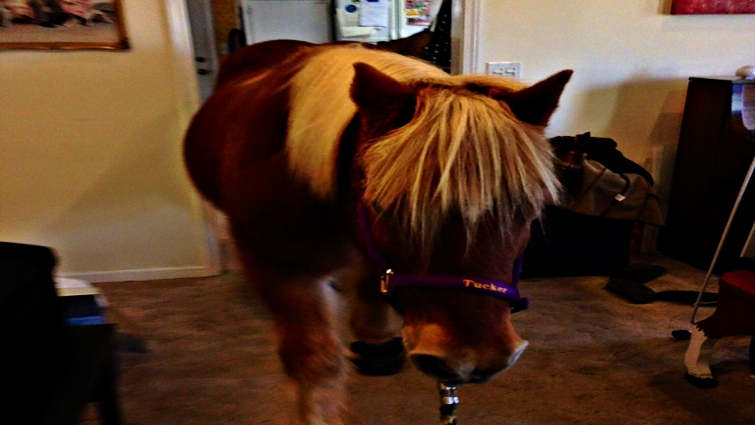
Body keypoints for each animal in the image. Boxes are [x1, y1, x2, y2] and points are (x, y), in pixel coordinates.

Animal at [184, 39, 571, 424]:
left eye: (530, 209)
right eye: (385, 208)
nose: (474, 360)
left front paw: (375, 339)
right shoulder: (278, 269)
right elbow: (315, 363)